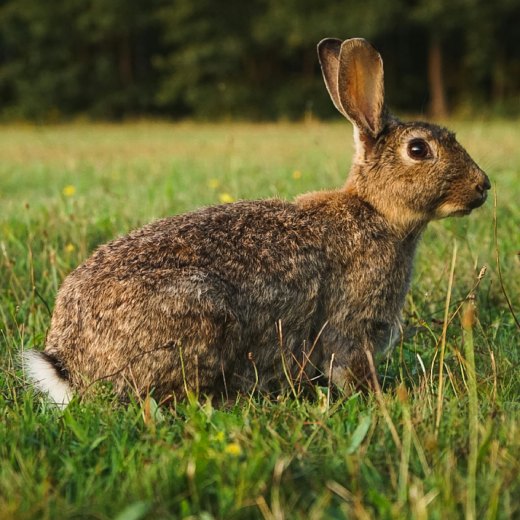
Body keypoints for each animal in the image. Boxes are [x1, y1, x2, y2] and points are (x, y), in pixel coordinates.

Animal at [24, 39, 490, 406]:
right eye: (418, 149)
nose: (483, 186)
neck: (375, 209)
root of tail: (67, 363)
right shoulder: (351, 324)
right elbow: (347, 365)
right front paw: (380, 398)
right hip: (201, 315)